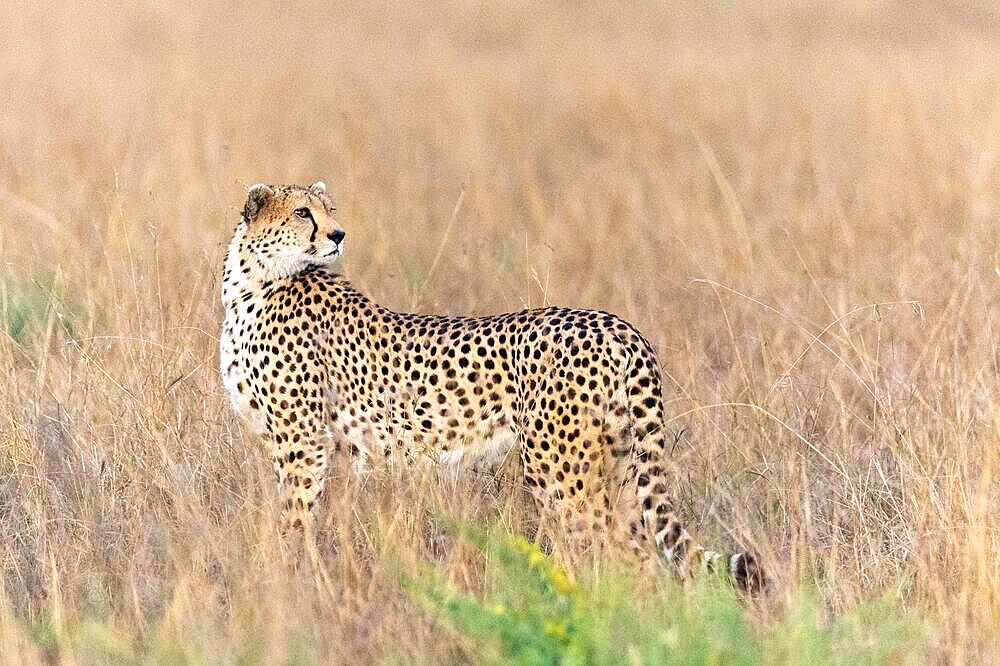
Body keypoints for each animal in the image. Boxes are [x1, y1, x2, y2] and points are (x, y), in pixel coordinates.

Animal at [221, 180, 764, 588]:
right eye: (302, 213)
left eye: (328, 210)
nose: (338, 234)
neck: (253, 282)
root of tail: (616, 324)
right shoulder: (326, 445)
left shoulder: (301, 442)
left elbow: (293, 518)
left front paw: (283, 578)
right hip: (617, 462)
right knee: (638, 547)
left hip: (557, 468)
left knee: (609, 549)